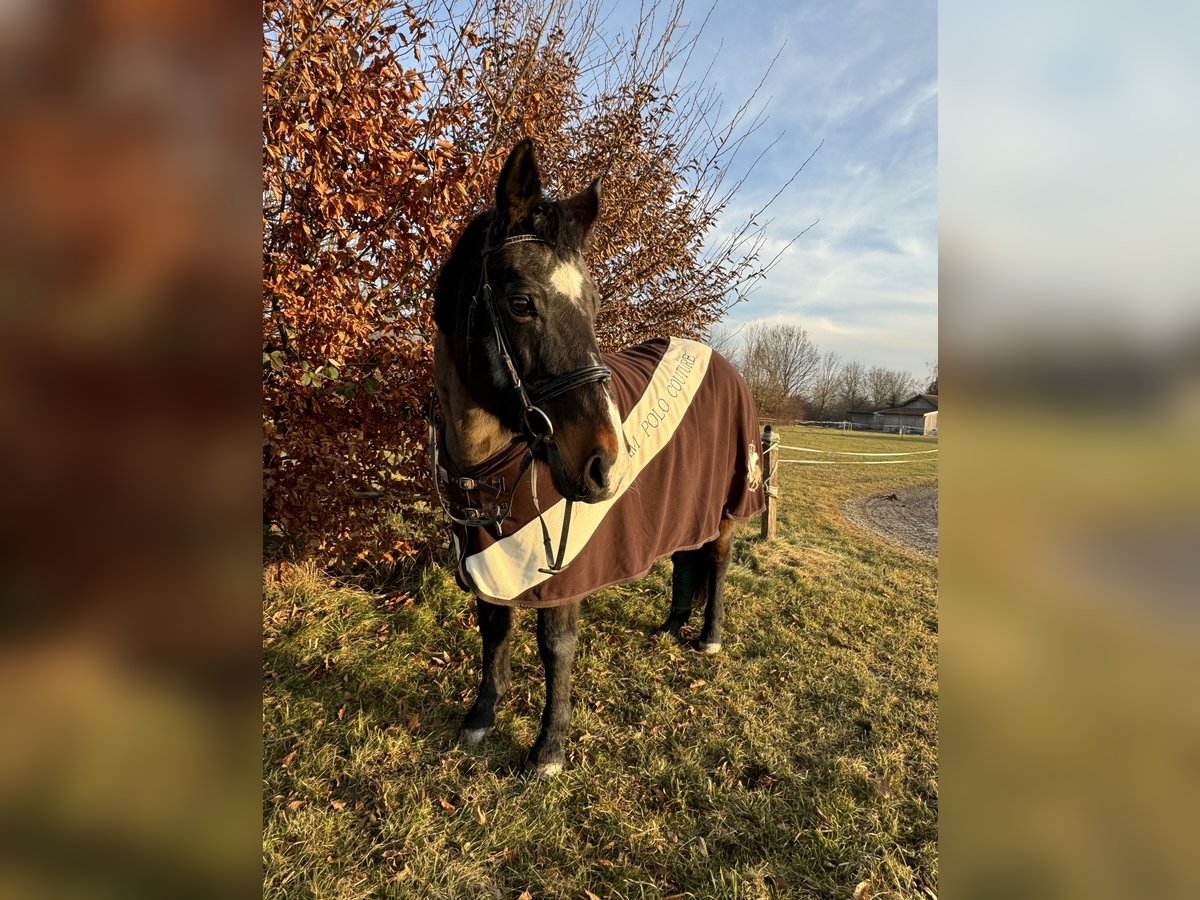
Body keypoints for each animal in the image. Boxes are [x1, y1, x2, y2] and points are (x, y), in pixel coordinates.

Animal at [436, 141, 763, 777]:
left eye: (593, 304)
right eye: (520, 302)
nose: (605, 465)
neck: (491, 469)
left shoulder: (562, 570)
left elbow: (555, 647)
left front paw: (548, 749)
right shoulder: (489, 558)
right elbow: (493, 628)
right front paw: (482, 717)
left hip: (726, 507)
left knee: (716, 560)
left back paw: (707, 636)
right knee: (683, 559)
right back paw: (671, 626)